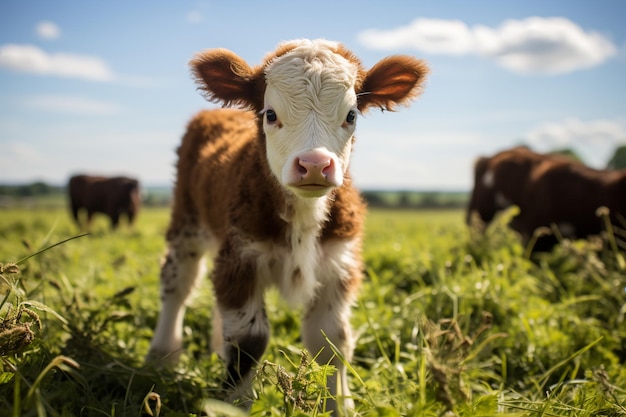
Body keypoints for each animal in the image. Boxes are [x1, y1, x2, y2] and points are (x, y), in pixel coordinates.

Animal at [147, 39, 428, 412]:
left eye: (351, 115)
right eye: (270, 114)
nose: (314, 164)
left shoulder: (338, 263)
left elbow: (332, 341)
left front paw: (340, 407)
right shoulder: (242, 258)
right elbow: (248, 341)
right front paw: (234, 406)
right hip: (187, 220)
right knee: (178, 283)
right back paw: (162, 357)